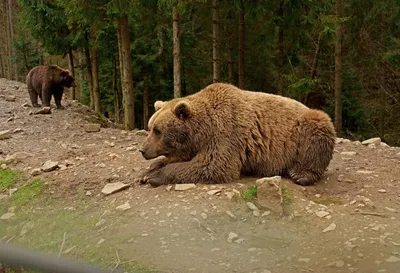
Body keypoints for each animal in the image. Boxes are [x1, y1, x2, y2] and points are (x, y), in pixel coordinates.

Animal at [136, 82, 336, 186]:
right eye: (150, 127)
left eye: (158, 130)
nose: (143, 150)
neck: (202, 131)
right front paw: (147, 172)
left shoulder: (226, 133)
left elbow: (212, 166)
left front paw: (154, 176)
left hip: (305, 128)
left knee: (317, 130)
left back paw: (301, 175)